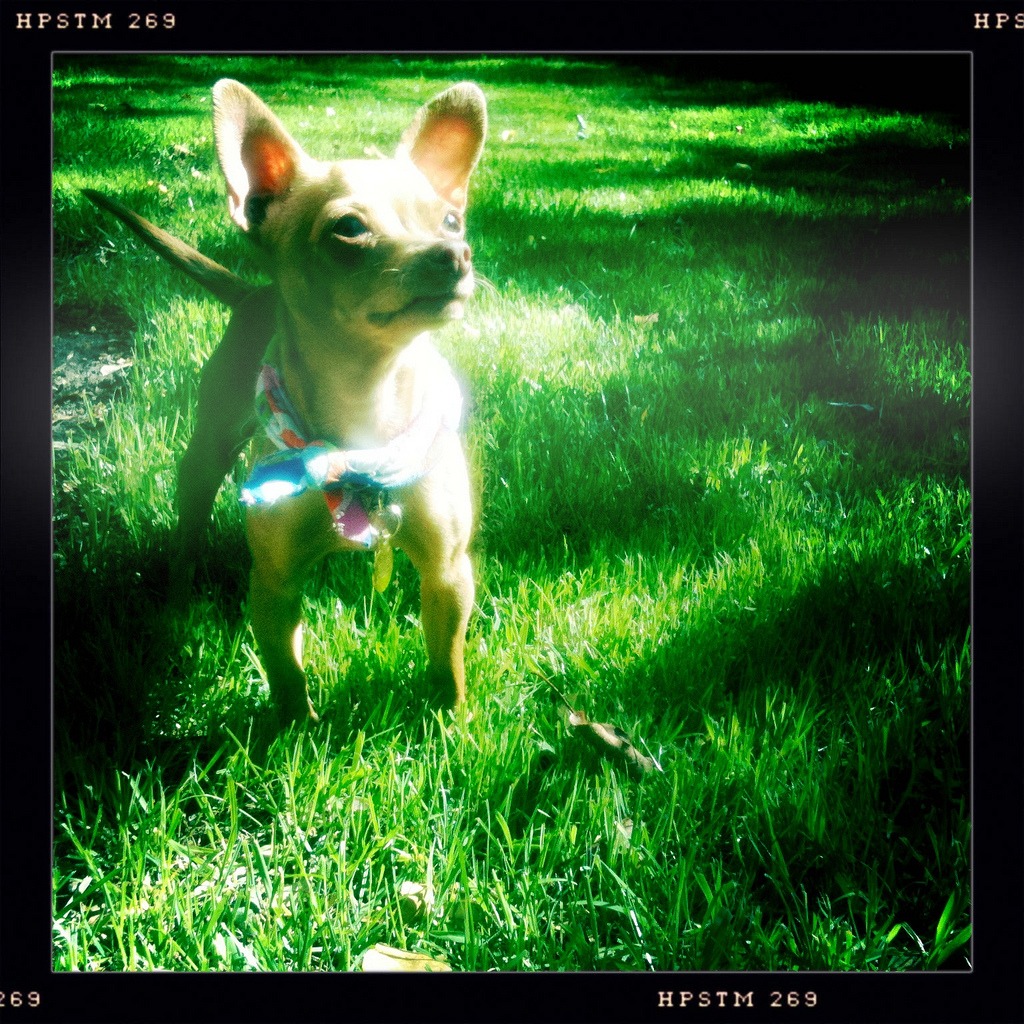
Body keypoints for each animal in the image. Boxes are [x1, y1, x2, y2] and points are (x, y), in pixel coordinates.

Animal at [84, 79, 486, 724]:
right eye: (348, 229)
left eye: (451, 221)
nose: (453, 255)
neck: (365, 405)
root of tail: (254, 291)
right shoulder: (273, 583)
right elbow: (286, 671)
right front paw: (294, 732)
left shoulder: (448, 575)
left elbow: (446, 658)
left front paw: (450, 723)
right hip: (205, 455)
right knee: (189, 530)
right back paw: (177, 597)